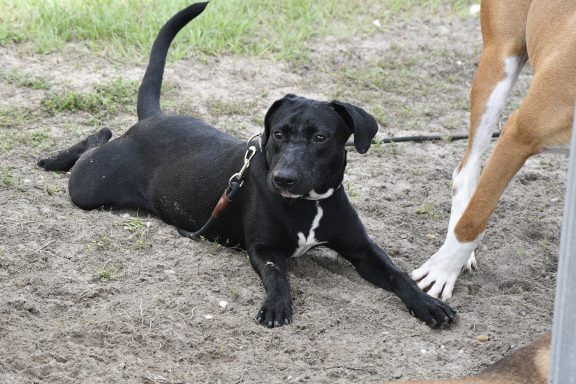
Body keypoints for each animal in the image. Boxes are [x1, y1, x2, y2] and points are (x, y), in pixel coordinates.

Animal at [38, 1, 456, 328]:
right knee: (98, 137)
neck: (309, 204)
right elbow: (277, 277)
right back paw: (53, 158)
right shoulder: (264, 248)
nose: (283, 178)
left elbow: (398, 275)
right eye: (279, 134)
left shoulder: (363, 250)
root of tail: (153, 119)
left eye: (320, 138)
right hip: (90, 185)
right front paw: (276, 305)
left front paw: (427, 303)